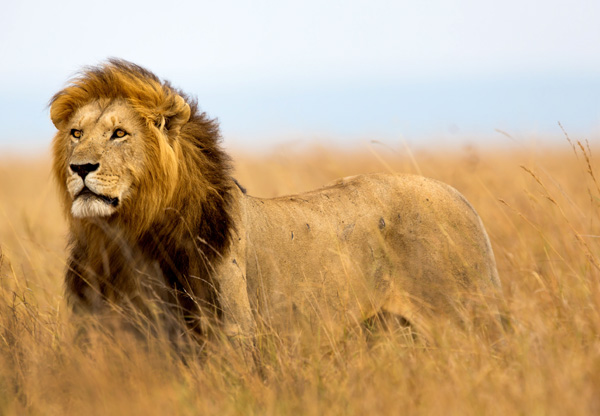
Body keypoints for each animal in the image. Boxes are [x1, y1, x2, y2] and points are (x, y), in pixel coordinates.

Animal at [50, 57, 502, 344]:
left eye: (119, 133)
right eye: (76, 133)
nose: (80, 167)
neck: (125, 237)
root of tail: (461, 198)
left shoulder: (230, 335)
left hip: (467, 321)